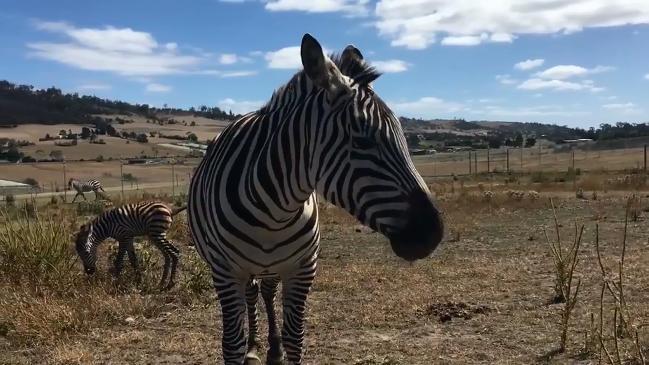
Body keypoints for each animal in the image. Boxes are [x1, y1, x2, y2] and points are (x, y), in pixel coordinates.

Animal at [185, 32, 442, 362]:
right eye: (363, 141)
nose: (434, 233)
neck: (274, 211)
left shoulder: (303, 268)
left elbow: (296, 338)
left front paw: (282, 347)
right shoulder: (225, 272)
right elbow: (231, 344)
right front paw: (246, 348)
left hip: (272, 266)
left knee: (266, 291)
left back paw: (273, 348)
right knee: (252, 294)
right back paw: (254, 347)